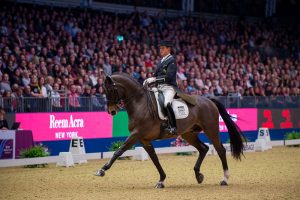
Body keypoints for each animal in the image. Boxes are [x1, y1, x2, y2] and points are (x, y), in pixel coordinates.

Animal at [95, 72, 245, 188]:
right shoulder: (144, 140)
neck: (139, 103)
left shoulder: (136, 134)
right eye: (104, 91)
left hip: (211, 129)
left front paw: (102, 170)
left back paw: (225, 179)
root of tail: (209, 101)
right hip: (188, 134)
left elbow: (119, 151)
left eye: (111, 90)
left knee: (220, 150)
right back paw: (198, 175)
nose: (112, 111)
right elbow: (155, 159)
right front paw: (161, 180)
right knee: (203, 148)